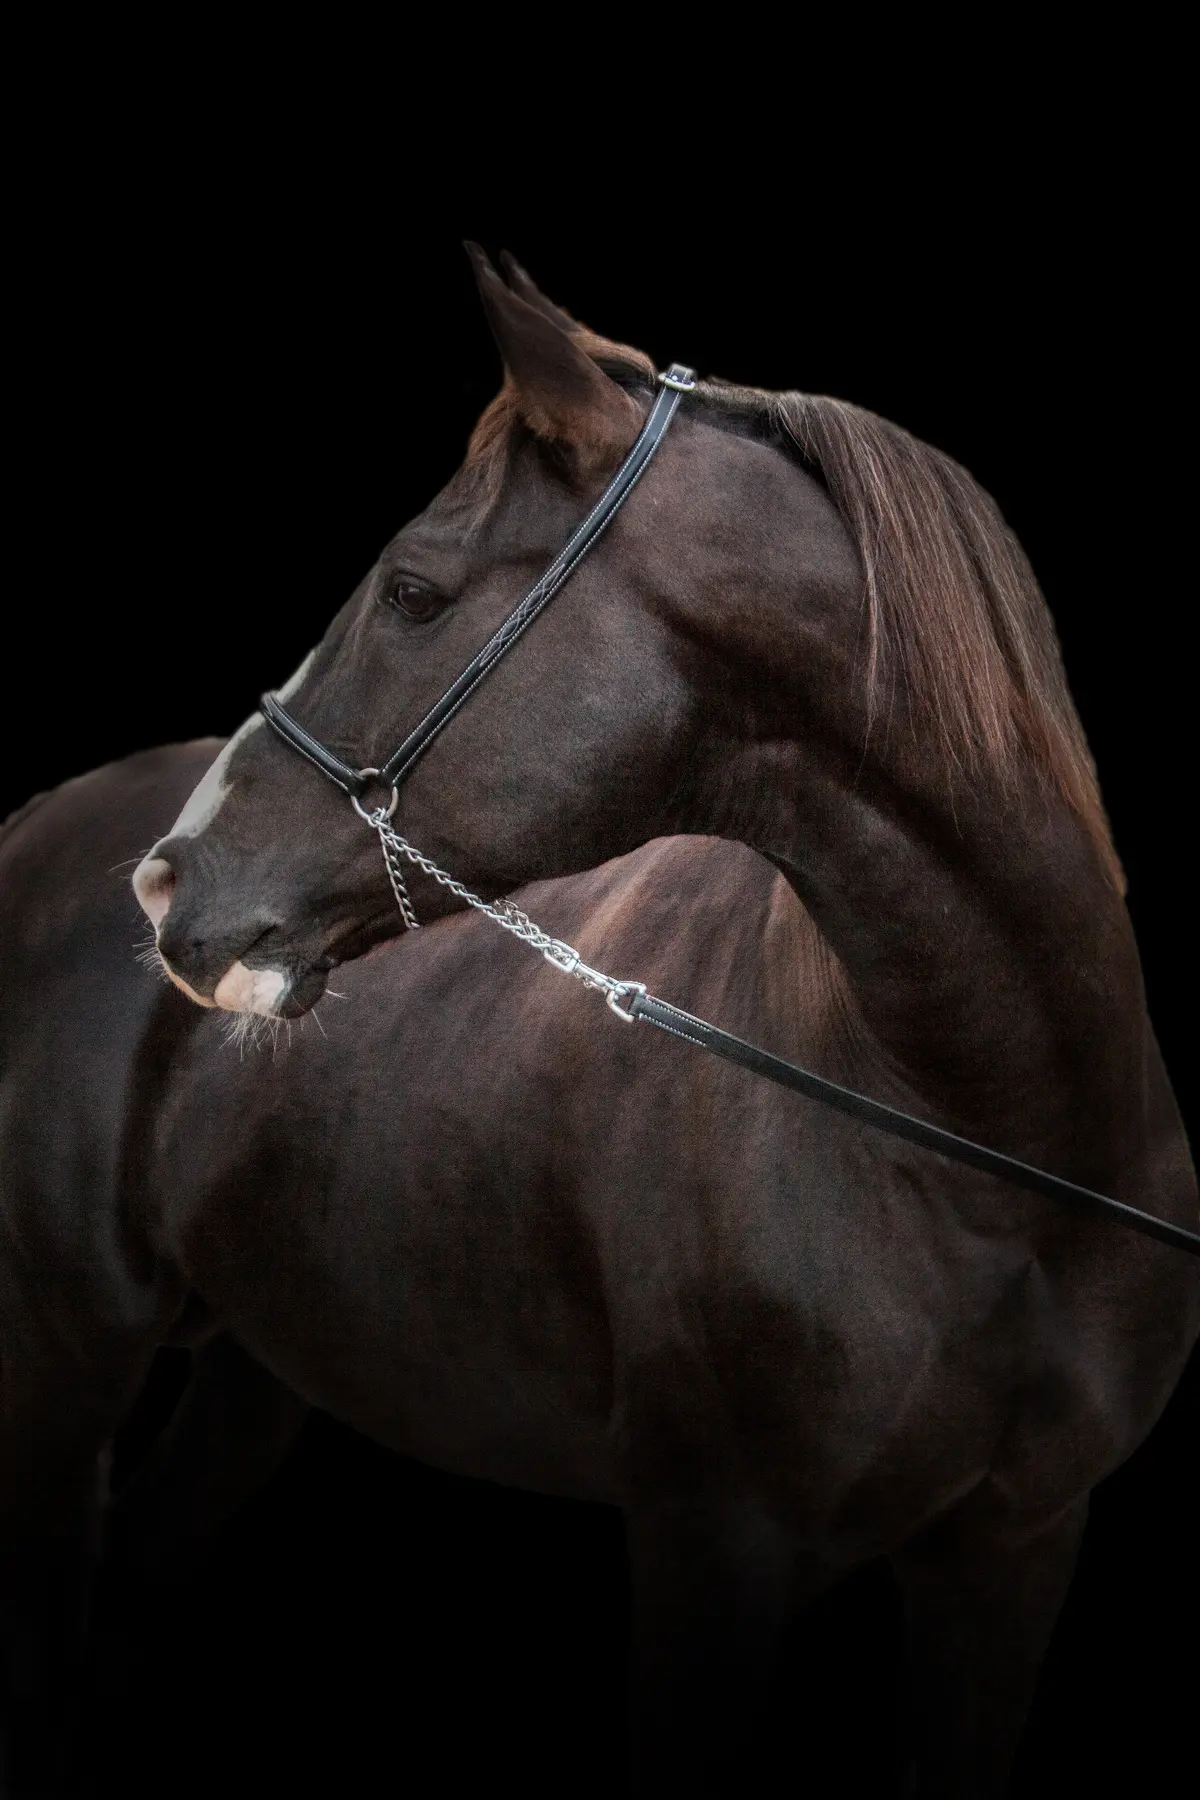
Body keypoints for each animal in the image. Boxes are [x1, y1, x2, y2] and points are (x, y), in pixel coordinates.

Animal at [4, 247, 1196, 1794]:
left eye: (411, 591)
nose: (171, 881)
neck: (990, 1154)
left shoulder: (1012, 1555)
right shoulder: (713, 1549)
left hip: (253, 1370)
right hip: (62, 1358)